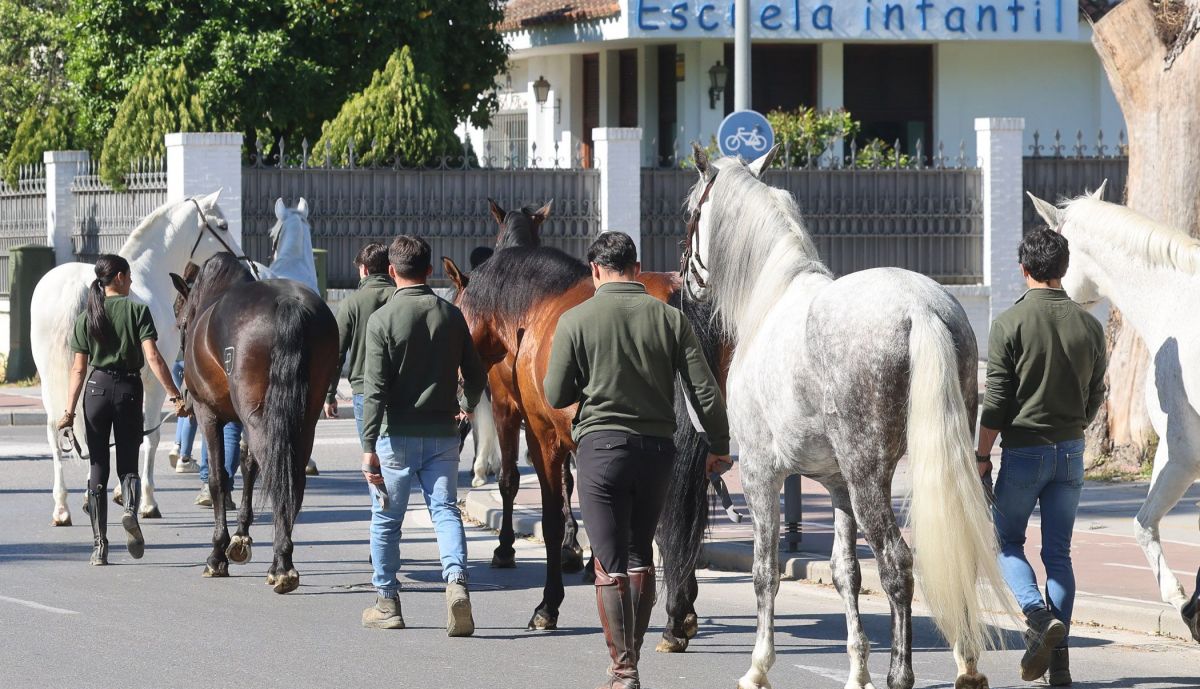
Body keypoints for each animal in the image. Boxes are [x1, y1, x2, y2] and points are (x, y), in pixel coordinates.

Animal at [30, 190, 237, 525]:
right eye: (223, 225)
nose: (242, 258)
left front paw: (112, 492)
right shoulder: (153, 383)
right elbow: (146, 437)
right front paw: (146, 502)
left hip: (52, 382)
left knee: (57, 430)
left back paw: (62, 508)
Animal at [171, 252, 338, 593]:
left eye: (179, 320)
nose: (184, 396)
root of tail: (289, 303)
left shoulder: (210, 416)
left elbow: (219, 478)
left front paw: (218, 553)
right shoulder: (249, 421)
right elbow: (248, 465)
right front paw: (240, 538)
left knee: (276, 475)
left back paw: (282, 565)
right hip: (302, 420)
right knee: (290, 477)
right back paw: (281, 559)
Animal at [681, 144, 1014, 689]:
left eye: (692, 213)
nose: (685, 283)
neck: (771, 299)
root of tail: (919, 307)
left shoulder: (760, 475)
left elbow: (765, 570)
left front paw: (758, 666)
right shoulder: (835, 485)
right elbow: (845, 572)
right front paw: (857, 669)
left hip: (868, 478)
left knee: (897, 563)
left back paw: (901, 672)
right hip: (930, 462)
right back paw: (966, 665)